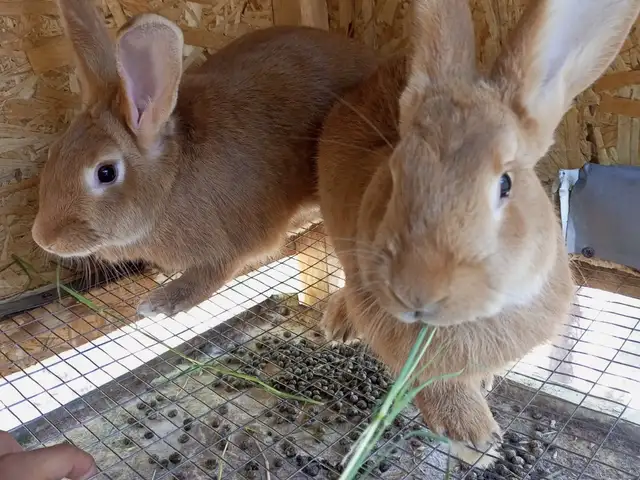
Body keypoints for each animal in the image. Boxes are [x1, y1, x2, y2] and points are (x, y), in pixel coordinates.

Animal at [31, 0, 379, 317]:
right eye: (54, 151)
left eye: (105, 173)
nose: (43, 239)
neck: (170, 183)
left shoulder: (228, 245)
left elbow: (211, 275)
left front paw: (160, 303)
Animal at [317, 0, 640, 468]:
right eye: (395, 173)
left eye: (505, 184)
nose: (416, 291)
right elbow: (434, 380)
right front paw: (476, 438)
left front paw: (483, 397)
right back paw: (339, 325)